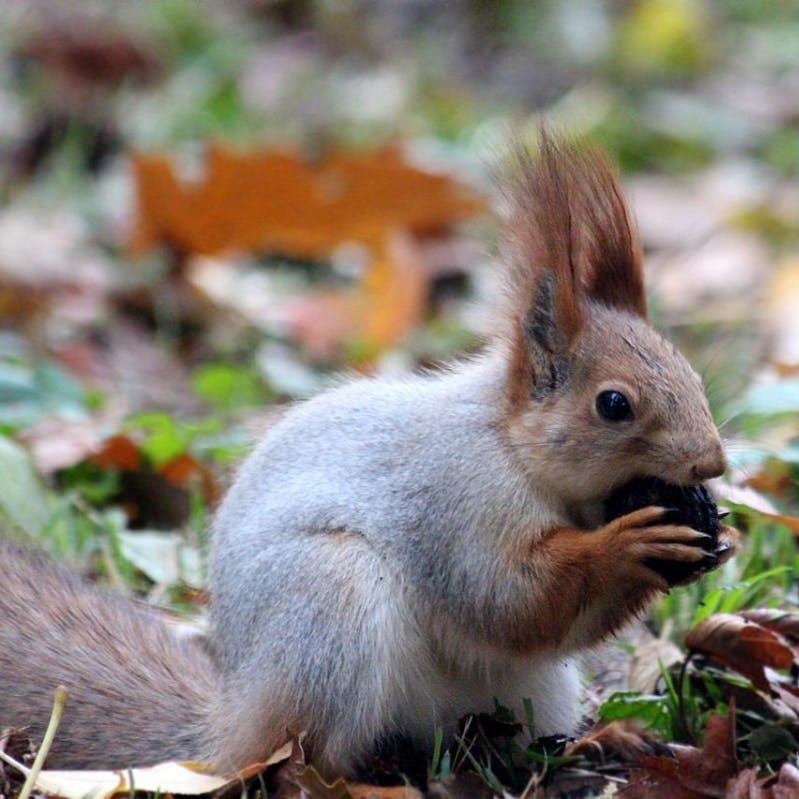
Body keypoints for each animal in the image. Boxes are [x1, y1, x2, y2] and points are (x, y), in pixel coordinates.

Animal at [0, 134, 736, 780]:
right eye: (613, 404)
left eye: (691, 372)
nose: (712, 464)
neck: (516, 453)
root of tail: (229, 729)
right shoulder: (455, 501)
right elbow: (505, 597)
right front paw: (629, 545)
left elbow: (548, 623)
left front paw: (709, 534)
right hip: (328, 607)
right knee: (307, 754)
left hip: (525, 688)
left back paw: (589, 743)